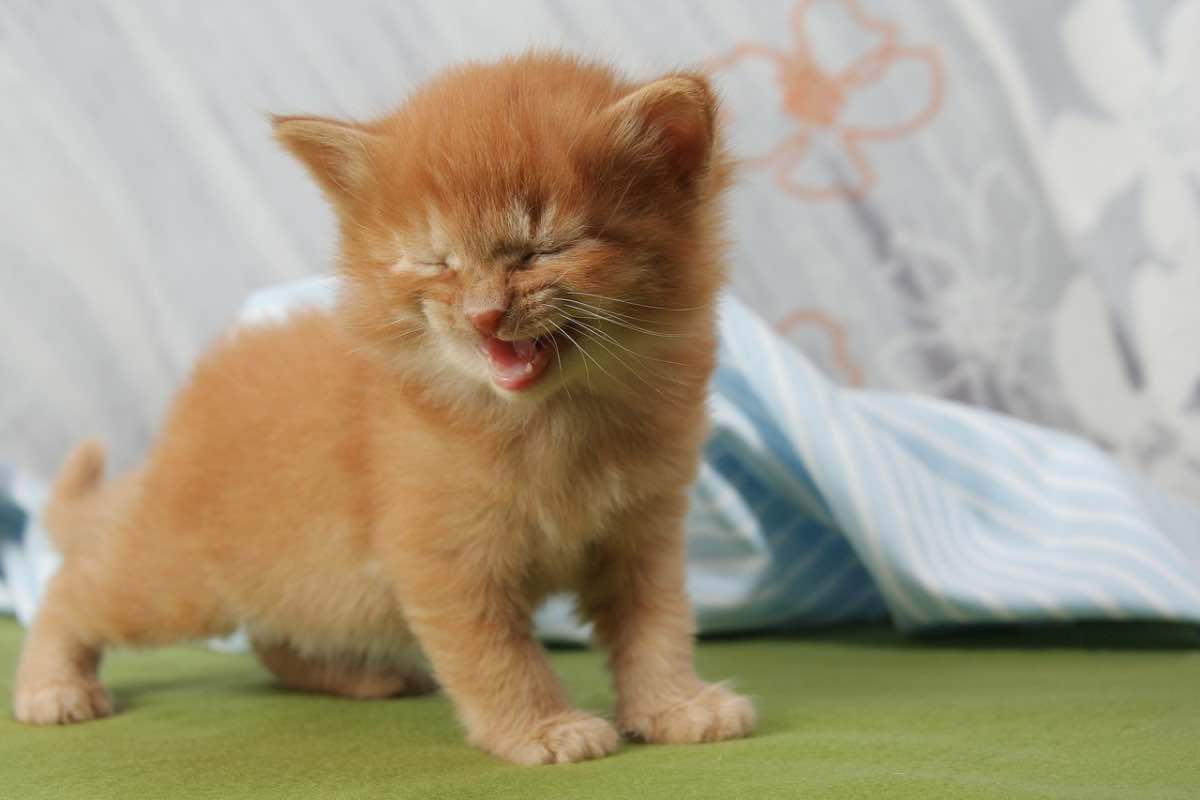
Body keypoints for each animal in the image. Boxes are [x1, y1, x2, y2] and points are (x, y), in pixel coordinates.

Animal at [14, 51, 753, 762]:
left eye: (543, 250)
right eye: (435, 261)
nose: (484, 315)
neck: (554, 419)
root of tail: (176, 431)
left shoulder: (644, 534)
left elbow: (658, 626)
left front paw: (676, 705)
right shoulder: (442, 558)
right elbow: (496, 655)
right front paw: (542, 728)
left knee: (273, 634)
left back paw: (358, 676)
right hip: (178, 577)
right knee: (73, 587)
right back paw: (52, 685)